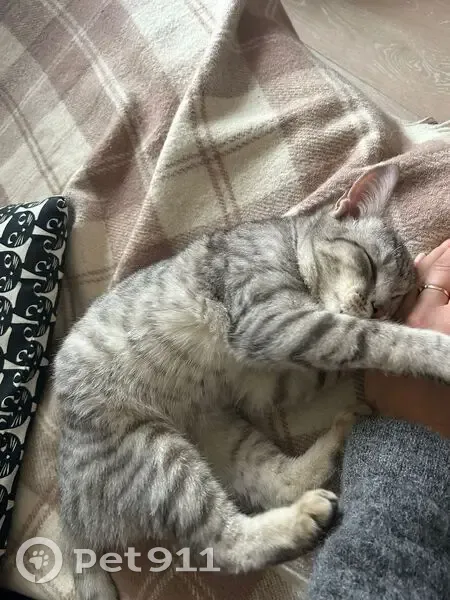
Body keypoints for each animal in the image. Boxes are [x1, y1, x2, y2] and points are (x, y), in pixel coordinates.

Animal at [54, 164, 450, 599]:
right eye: (368, 263)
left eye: (398, 296)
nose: (379, 307)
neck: (290, 247)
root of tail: (69, 513)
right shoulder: (268, 322)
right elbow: (369, 338)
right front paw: (435, 348)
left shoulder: (267, 376)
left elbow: (343, 353)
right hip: (153, 453)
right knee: (225, 545)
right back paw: (301, 520)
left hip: (220, 432)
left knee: (275, 483)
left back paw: (339, 436)